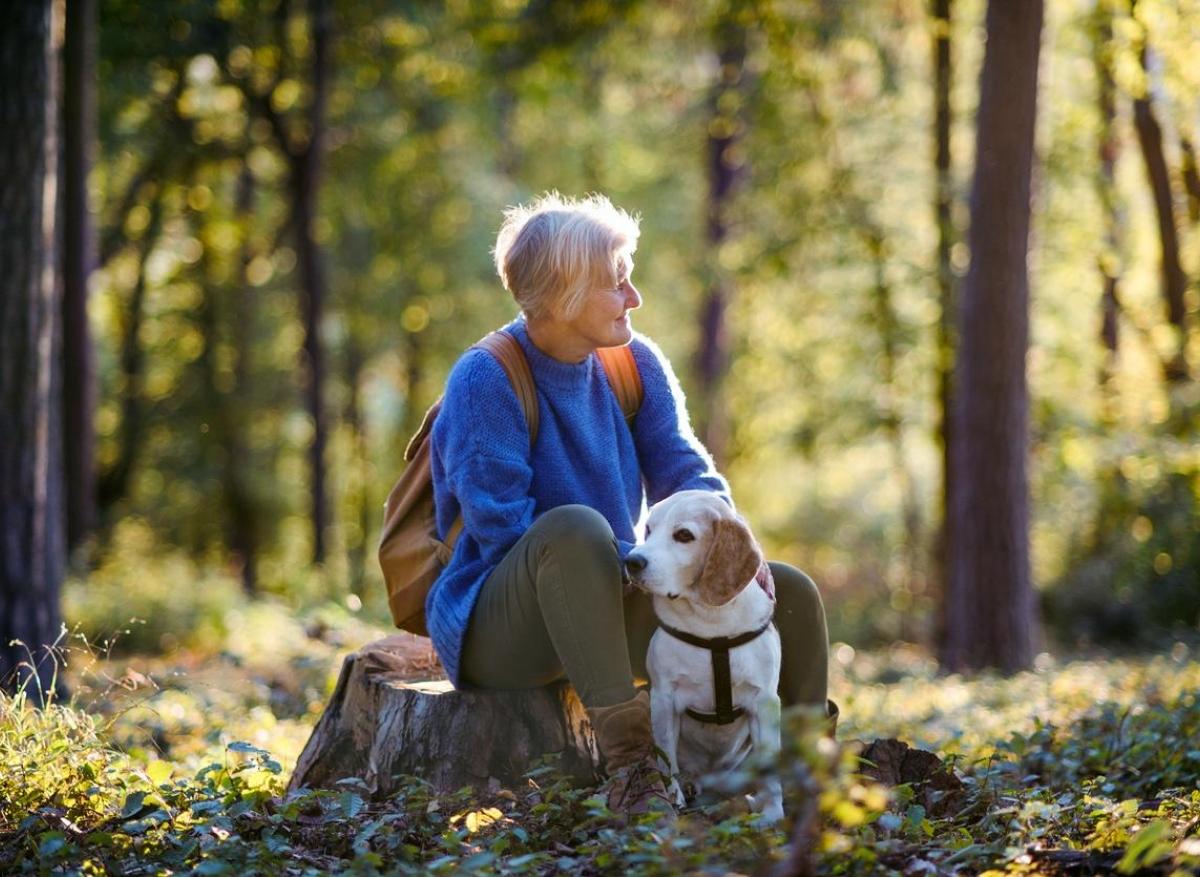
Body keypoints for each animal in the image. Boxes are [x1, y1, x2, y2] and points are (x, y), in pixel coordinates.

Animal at [624, 489, 782, 820]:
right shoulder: (664, 700)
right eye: (649, 530)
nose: (632, 561)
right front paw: (674, 801)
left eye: (684, 535)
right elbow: (667, 761)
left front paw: (774, 814)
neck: (712, 624)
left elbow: (771, 770)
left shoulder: (765, 702)